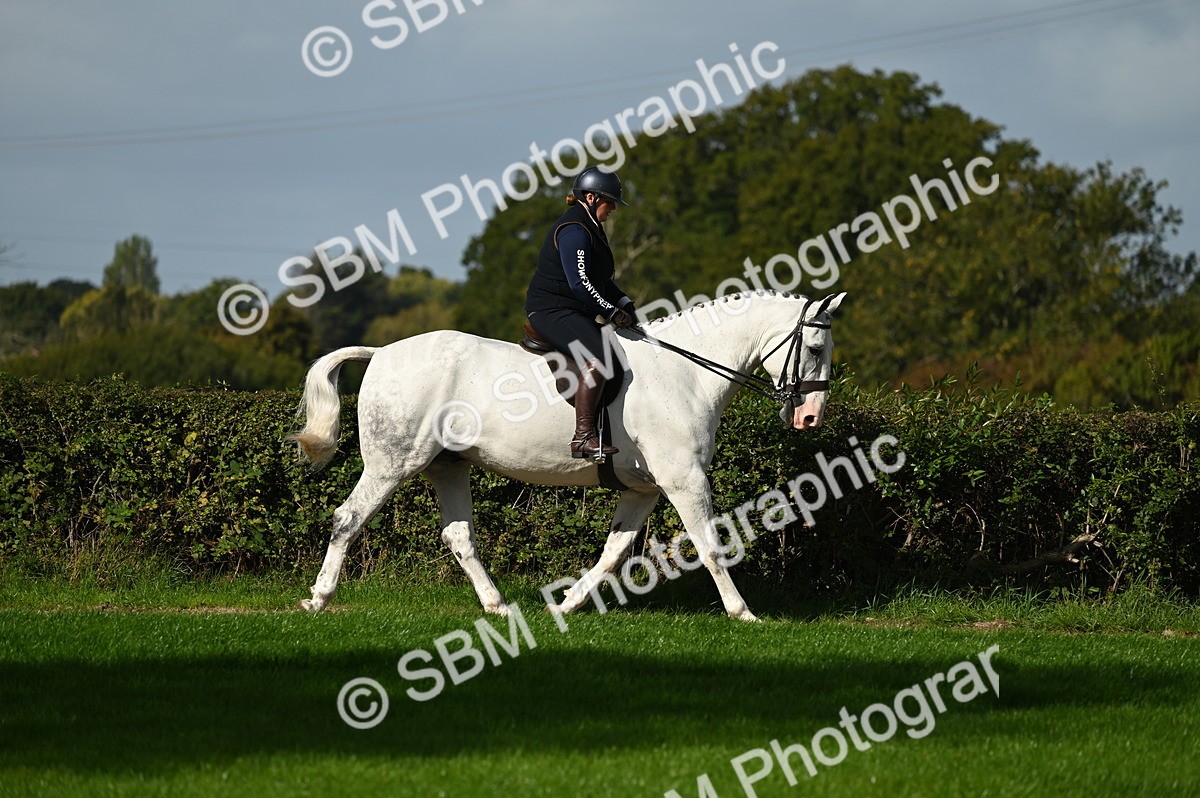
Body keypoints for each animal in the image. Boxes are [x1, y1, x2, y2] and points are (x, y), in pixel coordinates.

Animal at [290, 290, 847, 621]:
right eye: (815, 348)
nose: (809, 419)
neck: (686, 373)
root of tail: (382, 353)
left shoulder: (645, 489)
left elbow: (614, 551)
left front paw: (570, 601)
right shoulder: (684, 478)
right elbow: (710, 544)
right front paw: (742, 613)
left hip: (449, 467)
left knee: (459, 537)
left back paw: (497, 605)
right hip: (392, 463)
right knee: (348, 518)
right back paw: (319, 597)